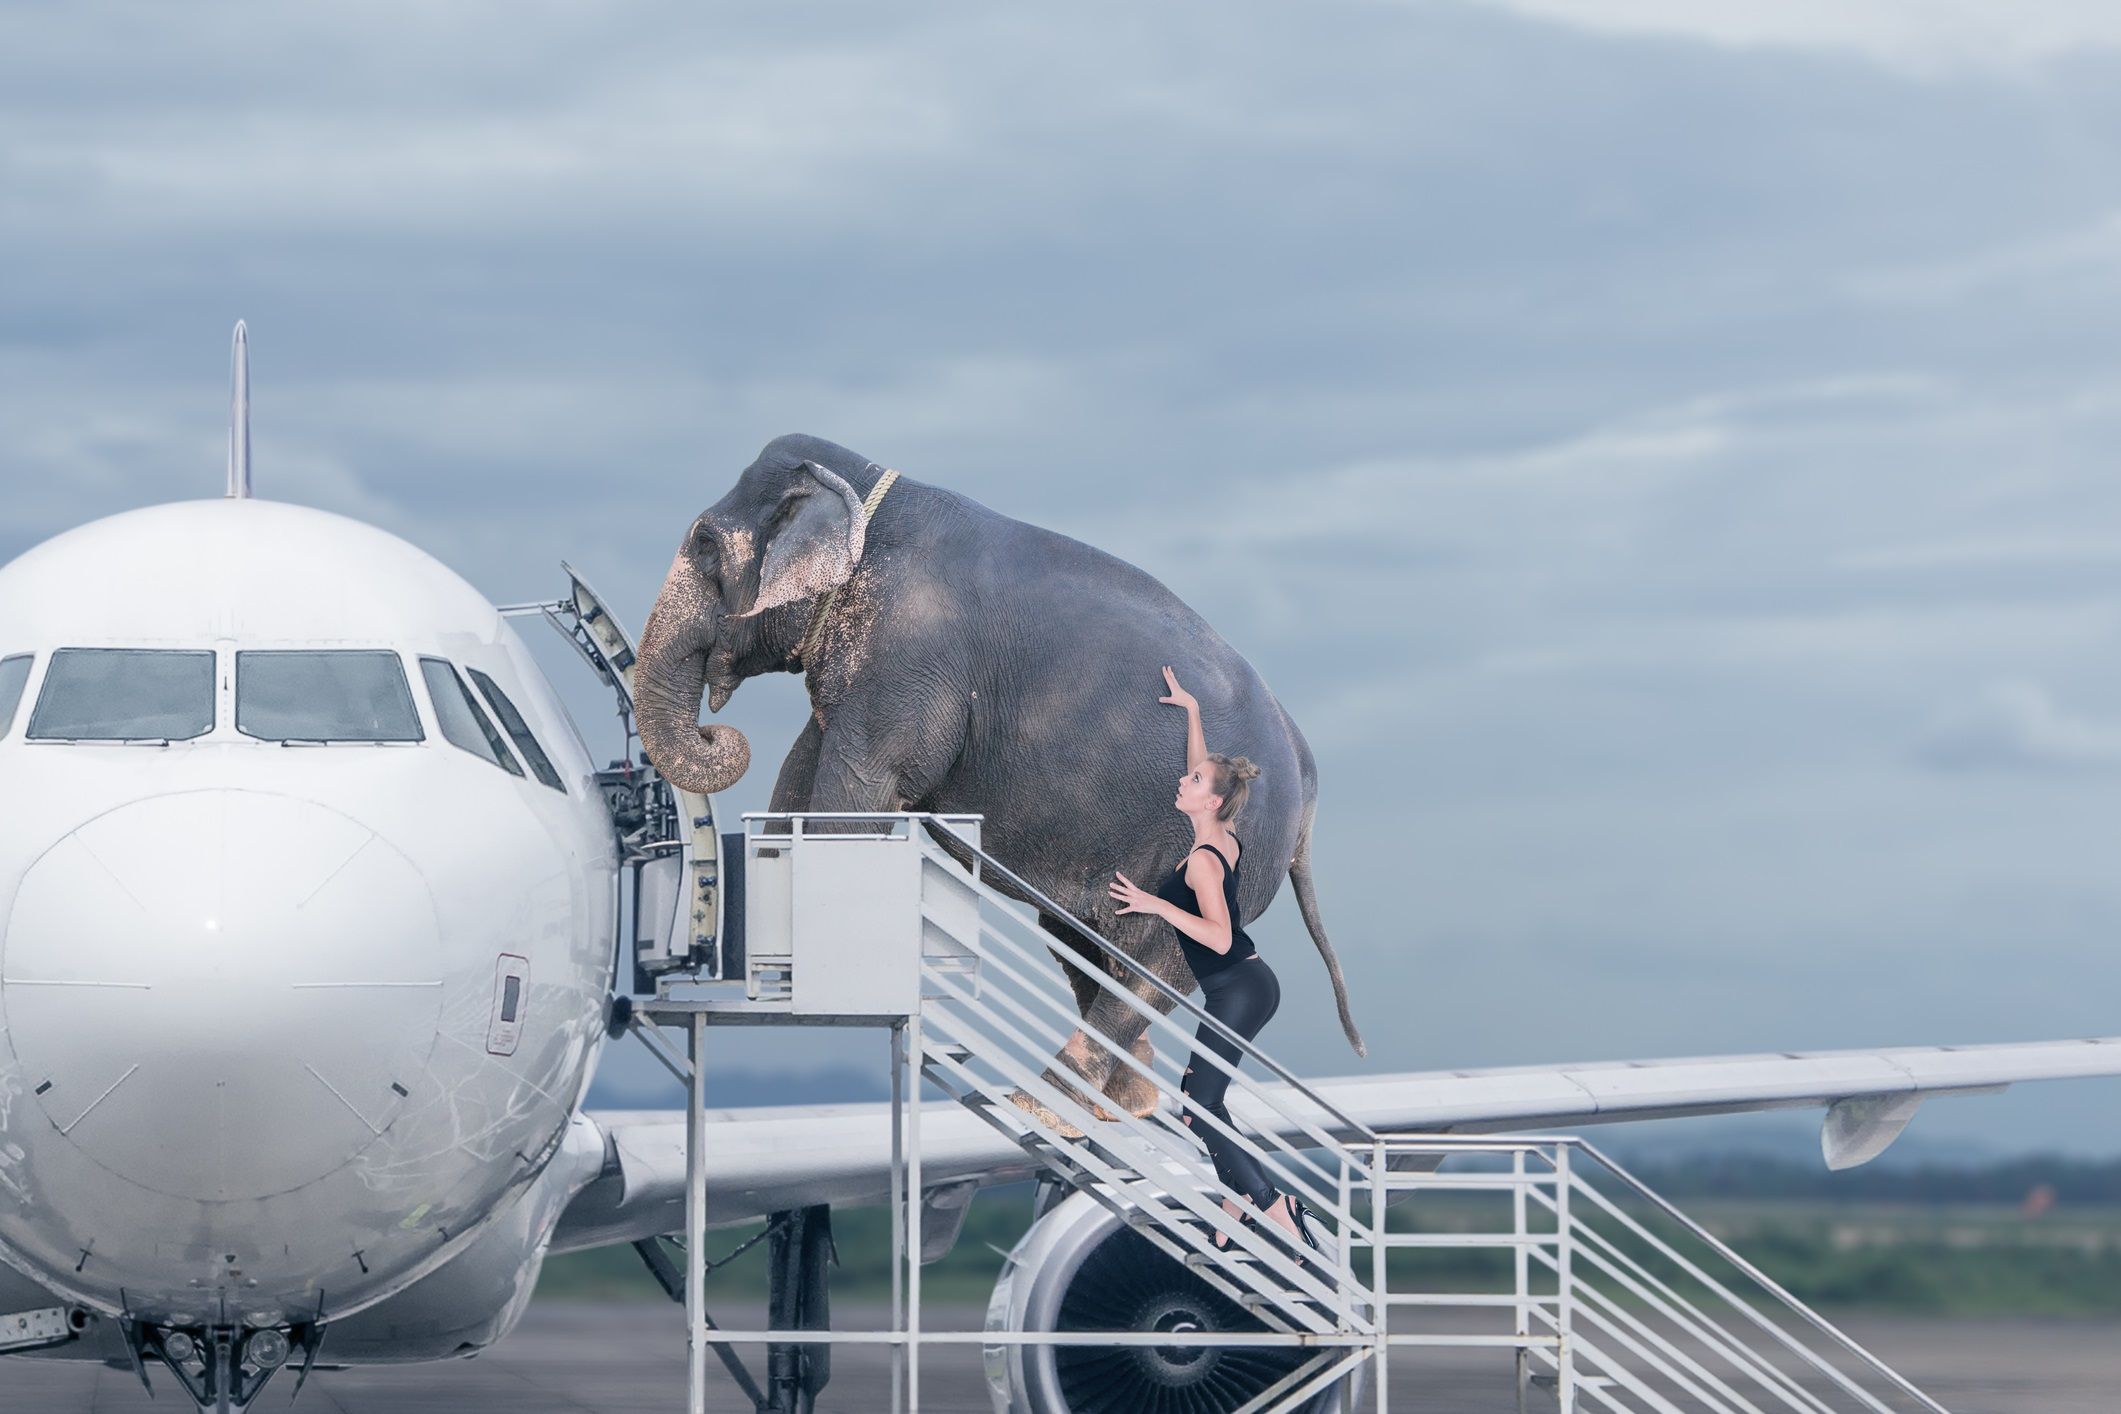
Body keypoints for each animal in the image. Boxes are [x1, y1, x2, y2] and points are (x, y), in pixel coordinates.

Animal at [627, 432, 1357, 1127]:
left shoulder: (911, 661)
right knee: (1082, 941)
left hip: (1224, 853)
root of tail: (1309, 782)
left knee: (1149, 965)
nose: (718, 731)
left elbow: (860, 783)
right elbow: (803, 764)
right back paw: (1123, 1103)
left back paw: (1047, 1106)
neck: (868, 490)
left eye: (703, 544)